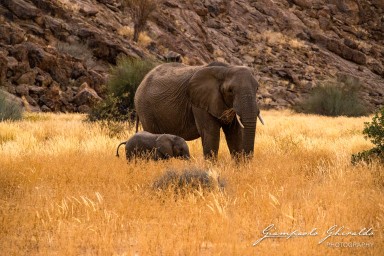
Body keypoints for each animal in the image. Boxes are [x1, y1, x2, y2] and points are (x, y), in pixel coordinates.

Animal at [134, 61, 264, 158]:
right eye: (230, 90)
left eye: (257, 88)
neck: (225, 69)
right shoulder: (198, 103)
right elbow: (210, 133)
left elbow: (234, 134)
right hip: (145, 109)